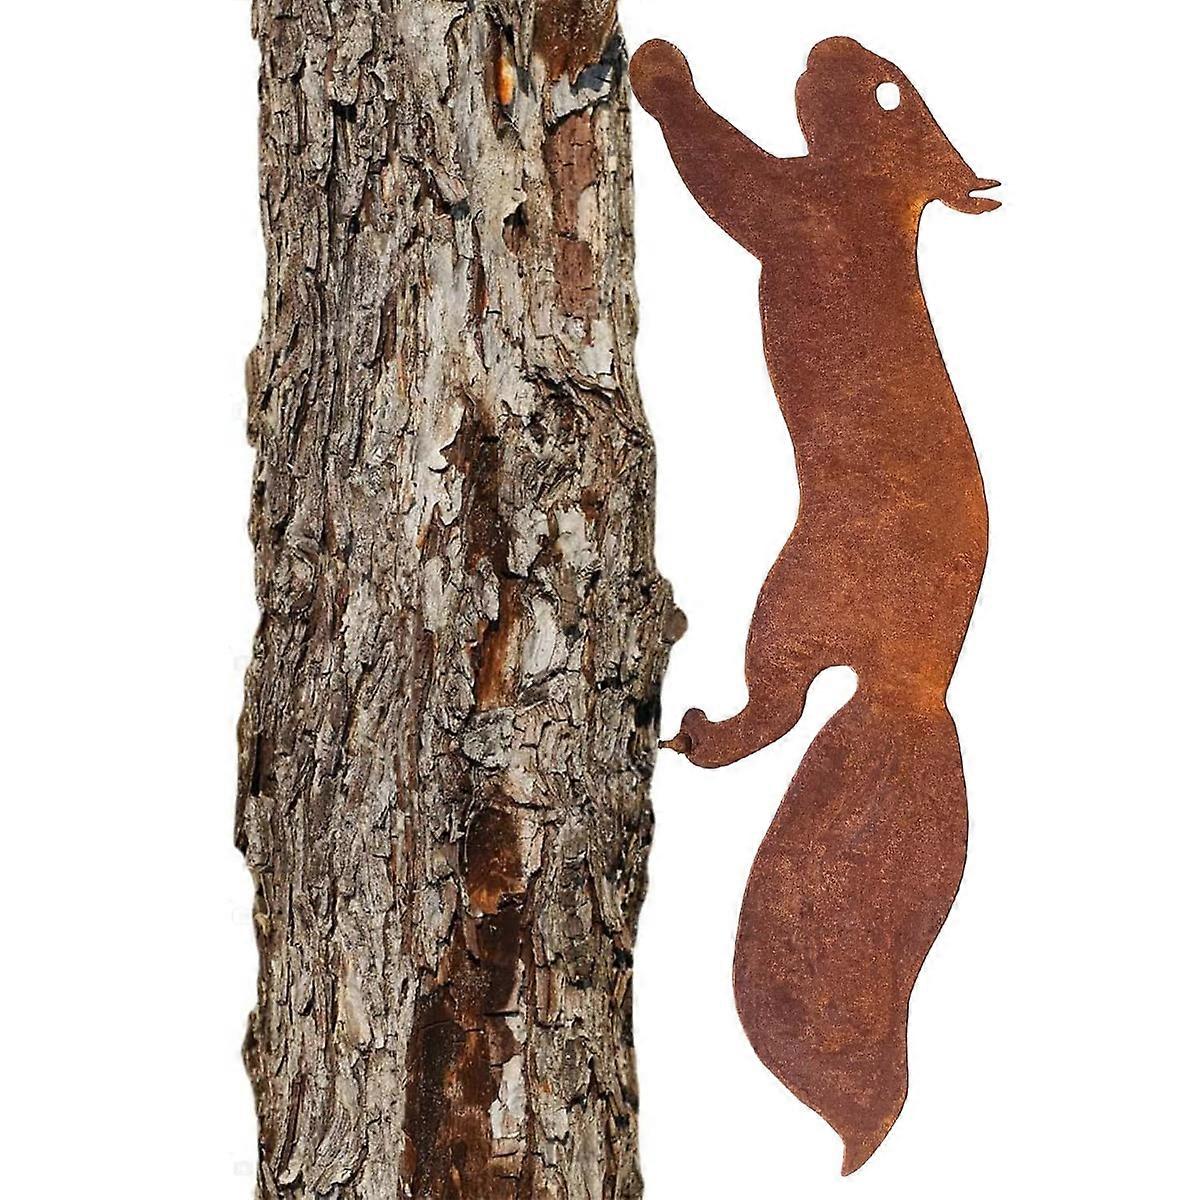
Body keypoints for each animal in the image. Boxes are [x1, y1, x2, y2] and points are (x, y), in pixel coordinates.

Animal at [631, 36, 998, 1173]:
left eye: (885, 91)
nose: (828, 46)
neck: (880, 203)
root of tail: (915, 687)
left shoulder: (800, 210)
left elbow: (729, 175)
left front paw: (659, 71)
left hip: (791, 601)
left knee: (777, 709)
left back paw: (697, 735)